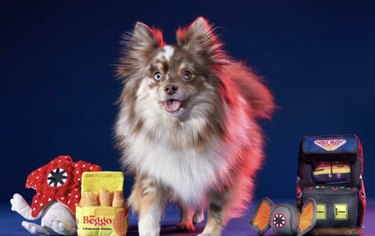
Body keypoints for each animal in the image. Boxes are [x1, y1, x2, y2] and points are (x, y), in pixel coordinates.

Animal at [116, 17, 274, 236]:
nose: (170, 87)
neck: (179, 131)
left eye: (187, 74)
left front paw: (209, 232)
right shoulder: (153, 174)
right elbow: (150, 212)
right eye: (157, 76)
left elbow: (216, 209)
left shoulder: (221, 174)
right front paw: (148, 231)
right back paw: (185, 221)